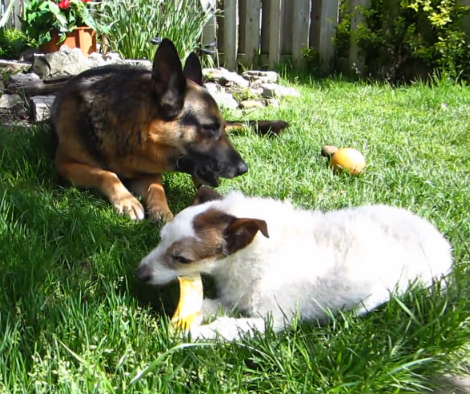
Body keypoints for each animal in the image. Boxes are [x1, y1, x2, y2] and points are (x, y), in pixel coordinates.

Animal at [50, 38, 286, 223]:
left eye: (216, 127)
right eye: (209, 128)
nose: (243, 169)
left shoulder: (148, 172)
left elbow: (157, 189)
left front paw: (164, 213)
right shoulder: (65, 165)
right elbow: (106, 174)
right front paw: (127, 201)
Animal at [134, 186, 454, 340]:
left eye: (181, 258)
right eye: (160, 238)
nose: (139, 274)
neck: (252, 256)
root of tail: (441, 241)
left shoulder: (272, 319)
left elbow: (226, 327)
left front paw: (193, 333)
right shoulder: (235, 298)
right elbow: (209, 306)